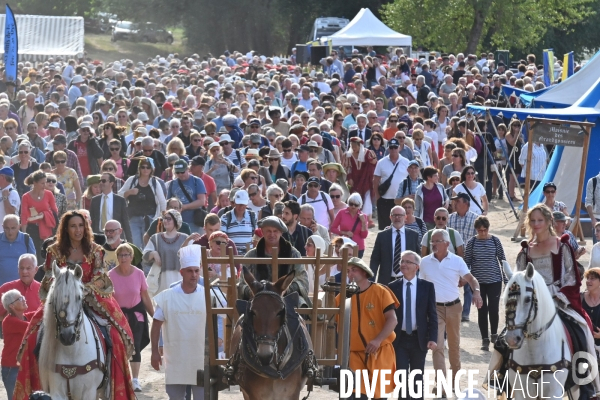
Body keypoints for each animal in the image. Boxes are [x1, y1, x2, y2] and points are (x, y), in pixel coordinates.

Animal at [38, 262, 106, 400]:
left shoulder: (89, 392)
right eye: (55, 297)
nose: (67, 337)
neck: (72, 352)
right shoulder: (57, 392)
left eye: (79, 297)